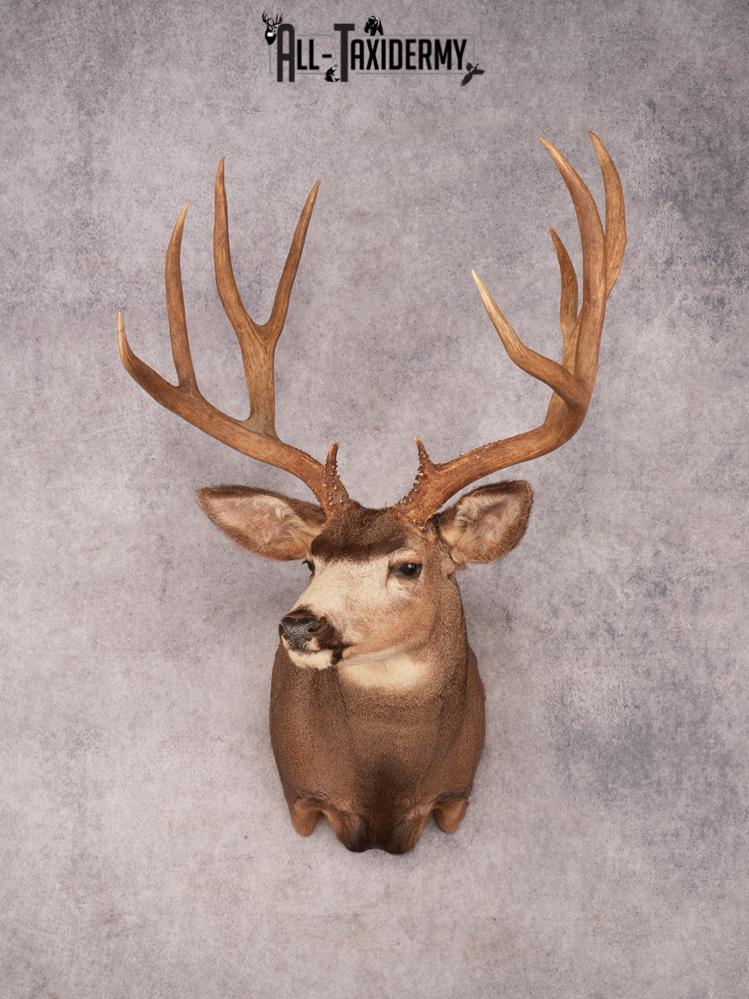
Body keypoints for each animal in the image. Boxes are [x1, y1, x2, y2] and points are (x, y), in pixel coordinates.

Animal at [117, 133, 626, 853]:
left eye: (408, 566)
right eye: (309, 562)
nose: (299, 623)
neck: (386, 788)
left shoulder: (453, 796)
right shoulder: (306, 797)